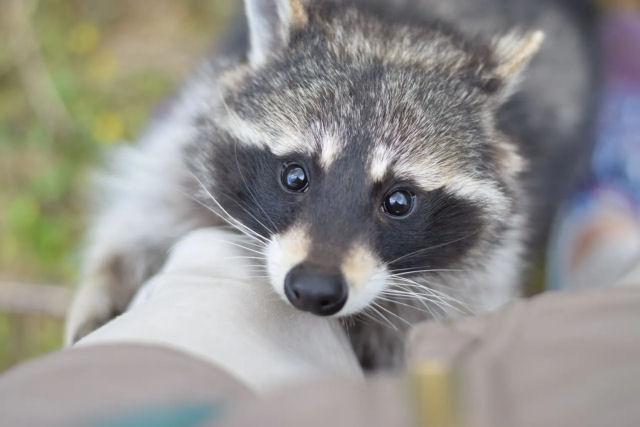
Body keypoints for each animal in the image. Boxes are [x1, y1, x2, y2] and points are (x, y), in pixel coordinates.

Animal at [65, 0, 596, 368]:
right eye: (295, 175)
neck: (398, 32)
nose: (314, 289)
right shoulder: (193, 123)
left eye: (398, 201)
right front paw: (108, 282)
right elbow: (153, 196)